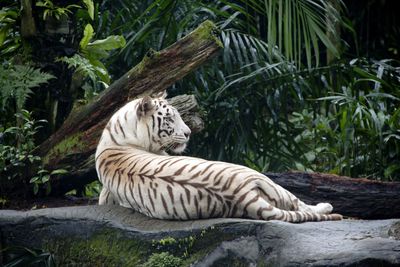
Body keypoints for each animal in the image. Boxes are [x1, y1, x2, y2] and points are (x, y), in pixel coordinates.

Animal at [95, 93, 342, 223]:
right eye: (170, 119)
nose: (189, 133)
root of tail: (241, 195)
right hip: (261, 177)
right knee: (300, 204)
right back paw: (327, 205)